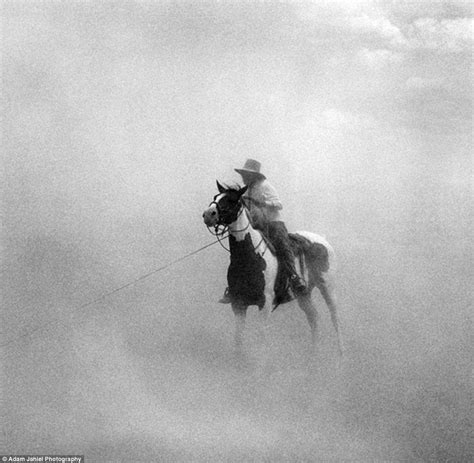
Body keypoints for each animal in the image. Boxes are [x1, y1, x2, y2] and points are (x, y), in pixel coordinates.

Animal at [202, 181, 342, 356]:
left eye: (231, 200)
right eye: (216, 196)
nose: (208, 214)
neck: (249, 257)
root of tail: (322, 239)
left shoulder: (265, 303)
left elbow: (262, 337)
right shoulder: (237, 303)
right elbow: (238, 337)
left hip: (328, 287)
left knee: (334, 317)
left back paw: (340, 354)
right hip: (303, 294)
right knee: (313, 317)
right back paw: (312, 354)